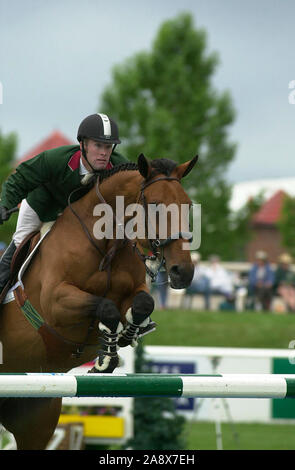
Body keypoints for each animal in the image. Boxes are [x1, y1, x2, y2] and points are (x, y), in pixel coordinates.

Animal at [0, 153, 199, 448]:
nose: (182, 272)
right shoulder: (55, 302)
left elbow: (143, 304)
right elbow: (106, 308)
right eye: (154, 205)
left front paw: (128, 333)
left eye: (187, 206)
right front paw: (106, 358)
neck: (105, 242)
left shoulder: (136, 288)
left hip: (35, 415)